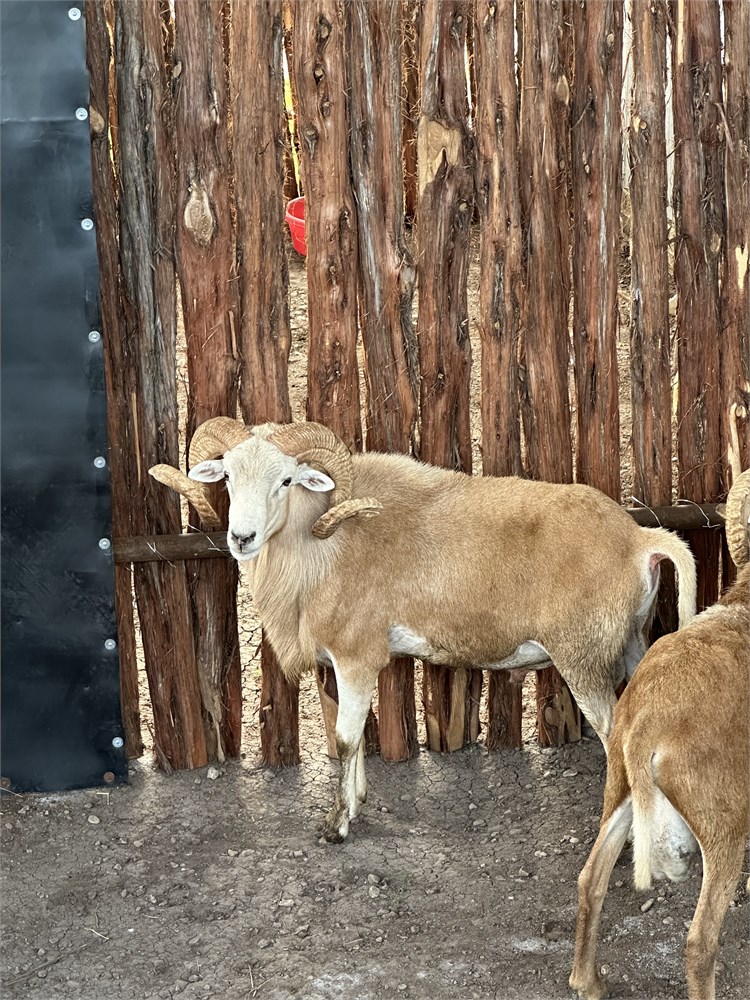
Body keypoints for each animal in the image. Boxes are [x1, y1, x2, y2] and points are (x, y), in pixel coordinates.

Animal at [150, 418, 697, 843]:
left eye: (285, 480)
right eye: (228, 475)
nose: (241, 537)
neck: (322, 545)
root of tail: (640, 539)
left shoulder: (356, 657)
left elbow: (345, 740)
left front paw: (336, 826)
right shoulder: (355, 663)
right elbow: (357, 735)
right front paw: (358, 801)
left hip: (582, 658)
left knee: (613, 736)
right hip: (634, 644)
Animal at [569, 468, 750, 1000]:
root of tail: (648, 727)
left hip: (620, 792)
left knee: (590, 881)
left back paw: (588, 982)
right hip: (722, 824)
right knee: (700, 941)